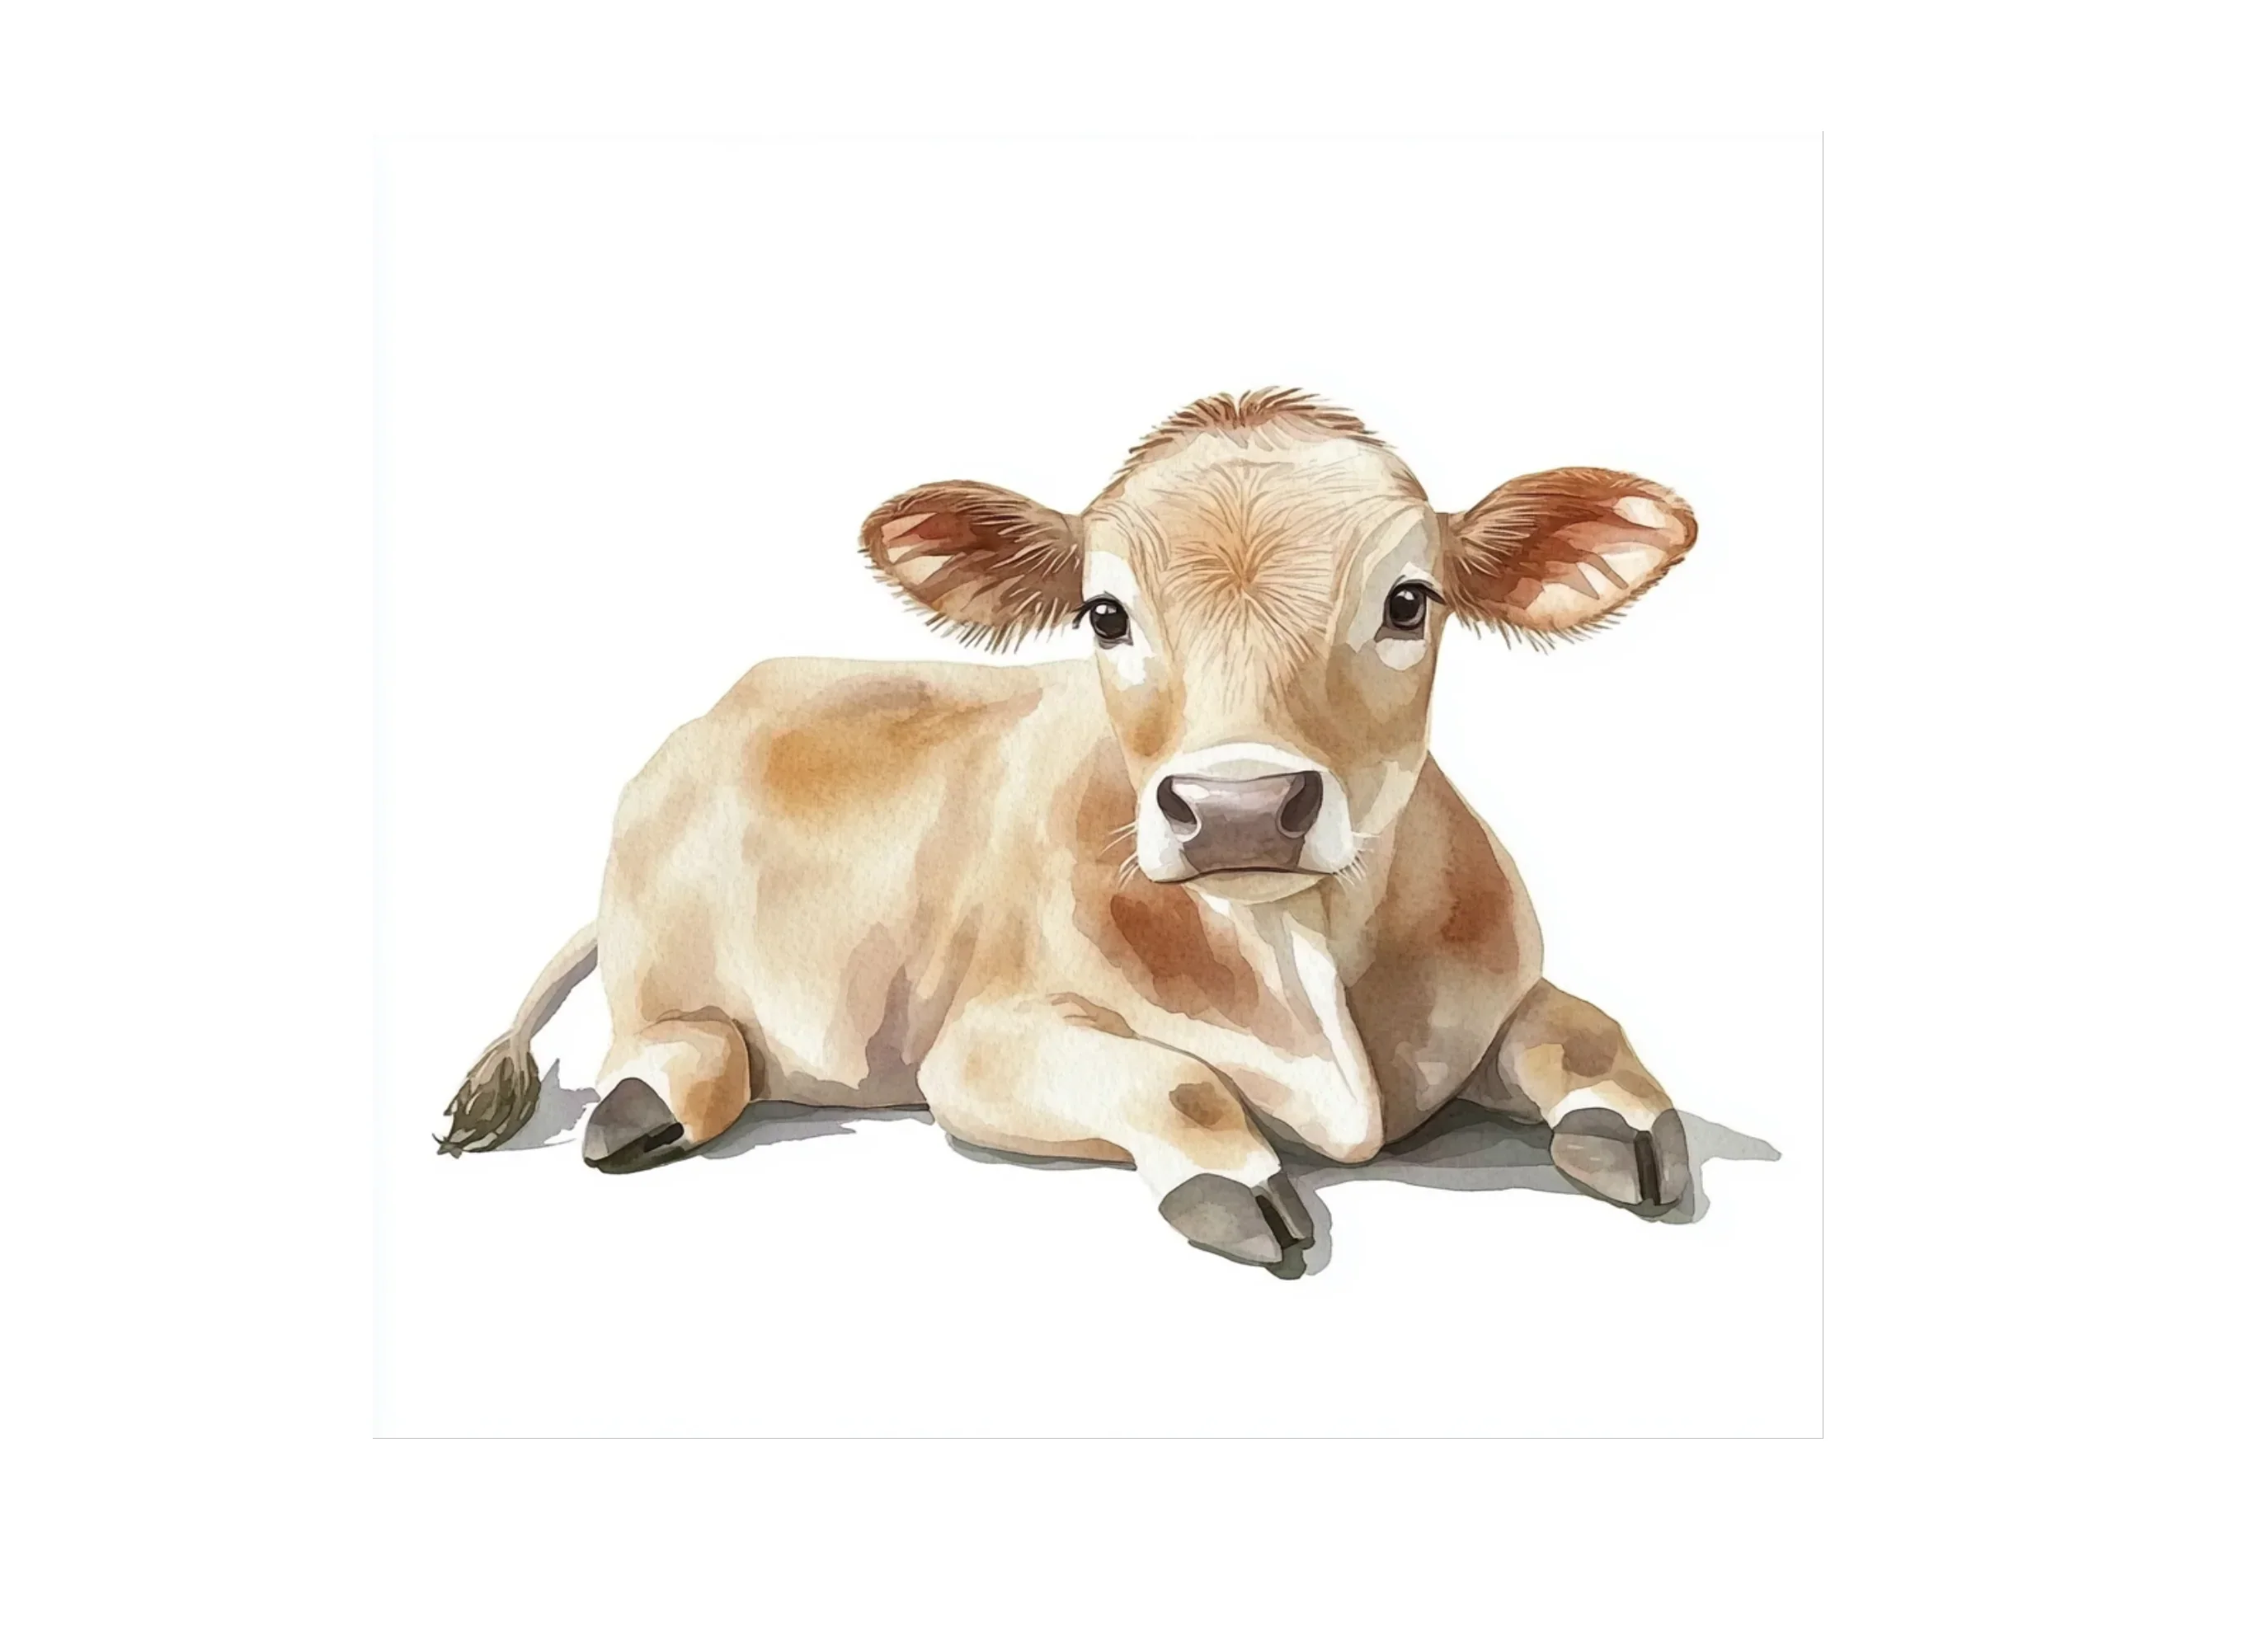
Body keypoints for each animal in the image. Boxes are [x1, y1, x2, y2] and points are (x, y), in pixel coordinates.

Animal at [439, 389, 1700, 1271]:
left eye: (1407, 601)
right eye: (1104, 613)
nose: (1239, 805)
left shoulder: (1501, 992)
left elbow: (1586, 1030)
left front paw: (1635, 1130)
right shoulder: (978, 1048)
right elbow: (1179, 1083)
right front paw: (1233, 1182)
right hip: (667, 954)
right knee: (677, 1037)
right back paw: (648, 1098)